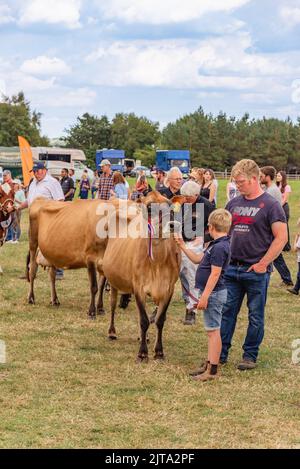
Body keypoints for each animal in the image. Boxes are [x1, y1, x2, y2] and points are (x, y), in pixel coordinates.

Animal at [98, 190, 183, 362]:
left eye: (171, 206)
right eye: (149, 207)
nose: (174, 225)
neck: (157, 261)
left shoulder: (169, 288)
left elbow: (159, 320)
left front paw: (159, 352)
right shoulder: (139, 287)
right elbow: (144, 320)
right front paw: (142, 353)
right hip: (108, 272)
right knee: (112, 303)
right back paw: (111, 331)